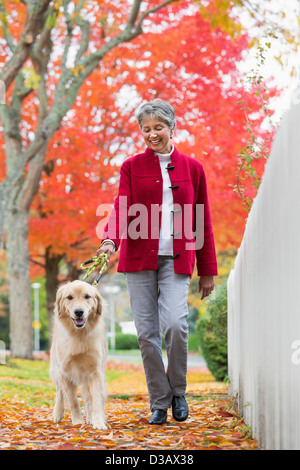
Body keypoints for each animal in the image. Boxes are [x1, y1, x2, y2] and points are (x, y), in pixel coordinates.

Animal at [50, 280, 108, 430]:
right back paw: (58, 413)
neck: (79, 334)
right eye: (69, 297)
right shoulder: (64, 372)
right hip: (55, 369)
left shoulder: (95, 371)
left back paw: (91, 418)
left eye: (87, 296)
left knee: (88, 398)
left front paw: (98, 422)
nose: (79, 312)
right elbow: (73, 401)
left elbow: (95, 400)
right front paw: (77, 422)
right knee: (59, 392)